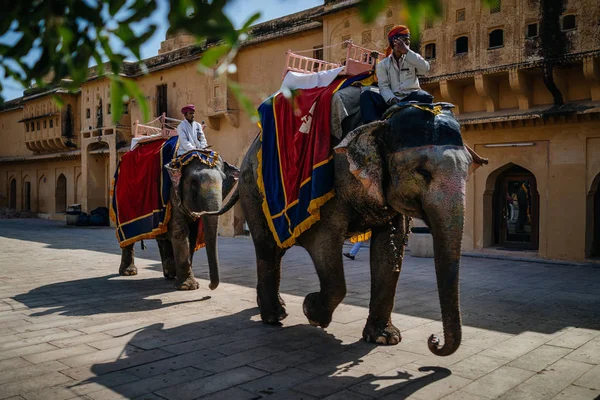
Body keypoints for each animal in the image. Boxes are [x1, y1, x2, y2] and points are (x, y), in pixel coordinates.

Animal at [117, 154, 239, 290]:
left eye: (223, 181)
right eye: (193, 183)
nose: (209, 286)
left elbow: (192, 234)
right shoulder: (172, 194)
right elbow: (180, 232)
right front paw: (188, 286)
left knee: (163, 238)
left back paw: (170, 273)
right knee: (127, 239)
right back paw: (129, 272)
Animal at [209, 104, 486, 356]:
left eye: (467, 173)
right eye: (423, 172)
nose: (434, 341)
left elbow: (389, 252)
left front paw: (385, 339)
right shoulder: (325, 186)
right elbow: (323, 244)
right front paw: (311, 310)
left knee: (276, 250)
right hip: (252, 191)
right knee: (267, 247)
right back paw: (273, 316)